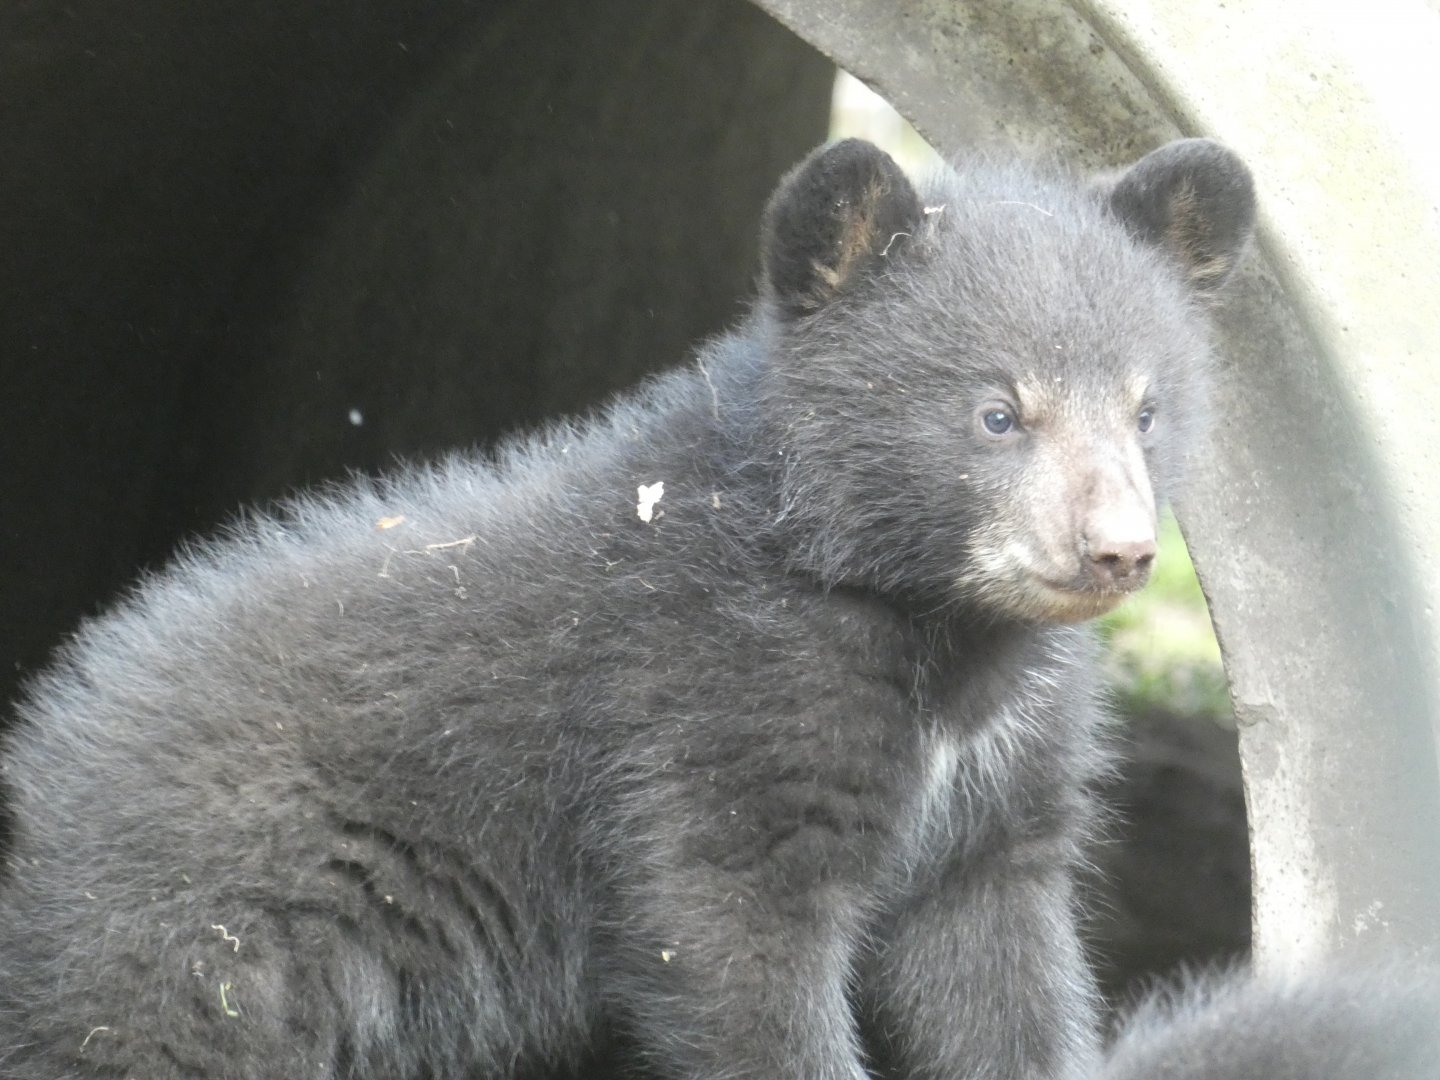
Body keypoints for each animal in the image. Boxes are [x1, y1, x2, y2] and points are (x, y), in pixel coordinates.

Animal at [0, 136, 1254, 1079]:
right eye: (998, 413)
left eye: (1146, 409)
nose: (1118, 551)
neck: (938, 633)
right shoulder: (707, 710)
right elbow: (727, 948)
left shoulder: (995, 807)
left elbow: (1001, 979)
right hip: (201, 940)